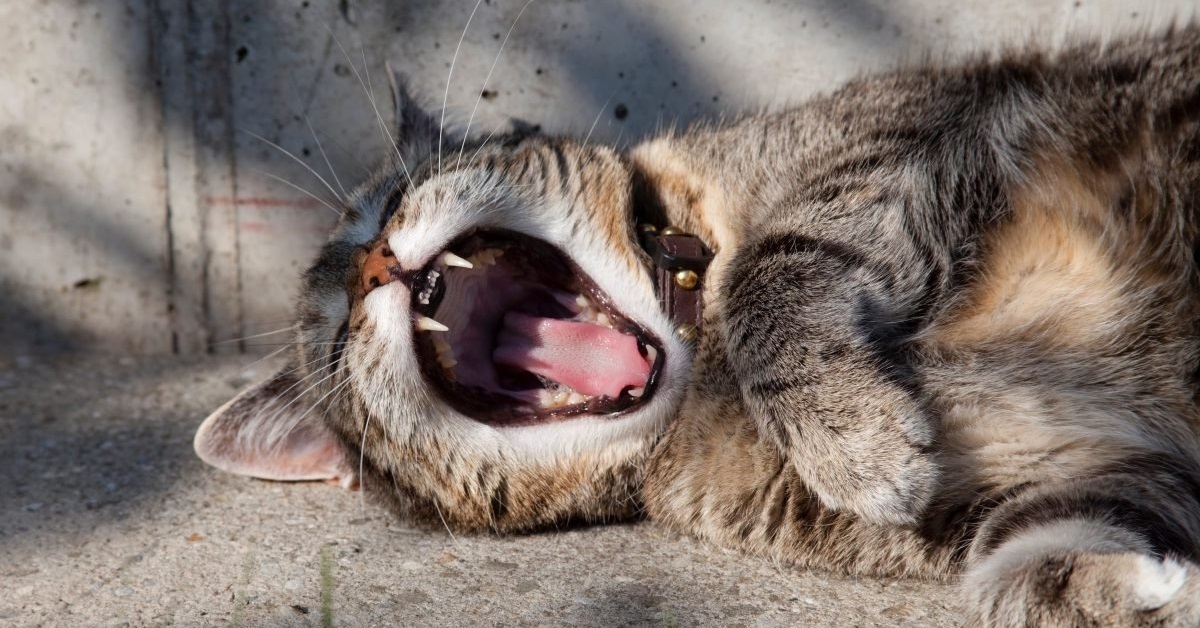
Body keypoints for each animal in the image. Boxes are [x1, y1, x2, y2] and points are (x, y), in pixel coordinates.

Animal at [192, 27, 1200, 624]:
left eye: (386, 202)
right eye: (331, 338)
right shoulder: (1061, 483)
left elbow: (771, 270)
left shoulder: (897, 138)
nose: (369, 267)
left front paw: (849, 436)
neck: (701, 357)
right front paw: (1141, 593)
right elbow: (1022, 565)